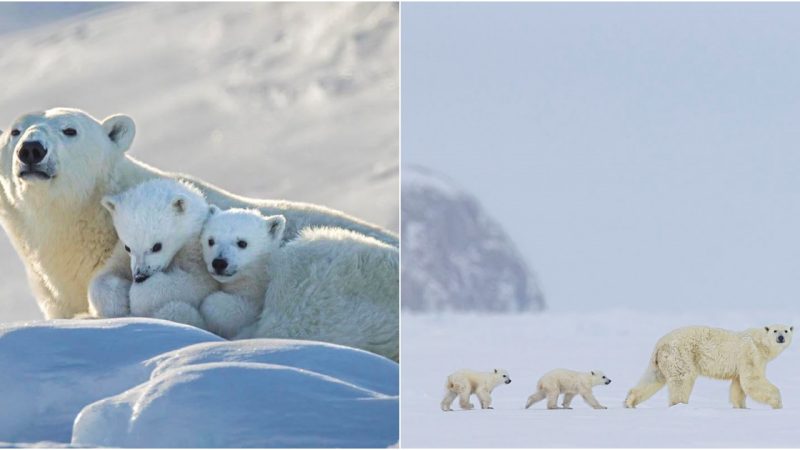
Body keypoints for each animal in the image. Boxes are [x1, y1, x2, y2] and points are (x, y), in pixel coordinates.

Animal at [92, 178, 219, 326]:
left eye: (157, 246)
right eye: (127, 247)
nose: (139, 276)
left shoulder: (196, 253)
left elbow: (196, 282)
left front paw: (137, 296)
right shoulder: (121, 255)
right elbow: (104, 275)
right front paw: (120, 298)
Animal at [624, 324, 792, 408]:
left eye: (786, 330)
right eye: (775, 330)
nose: (781, 337)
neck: (759, 343)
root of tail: (660, 343)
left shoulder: (744, 362)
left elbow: (739, 385)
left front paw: (741, 407)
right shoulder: (750, 355)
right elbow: (752, 381)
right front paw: (777, 403)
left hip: (661, 361)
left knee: (653, 378)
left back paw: (630, 402)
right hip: (681, 355)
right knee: (682, 380)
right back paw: (680, 404)